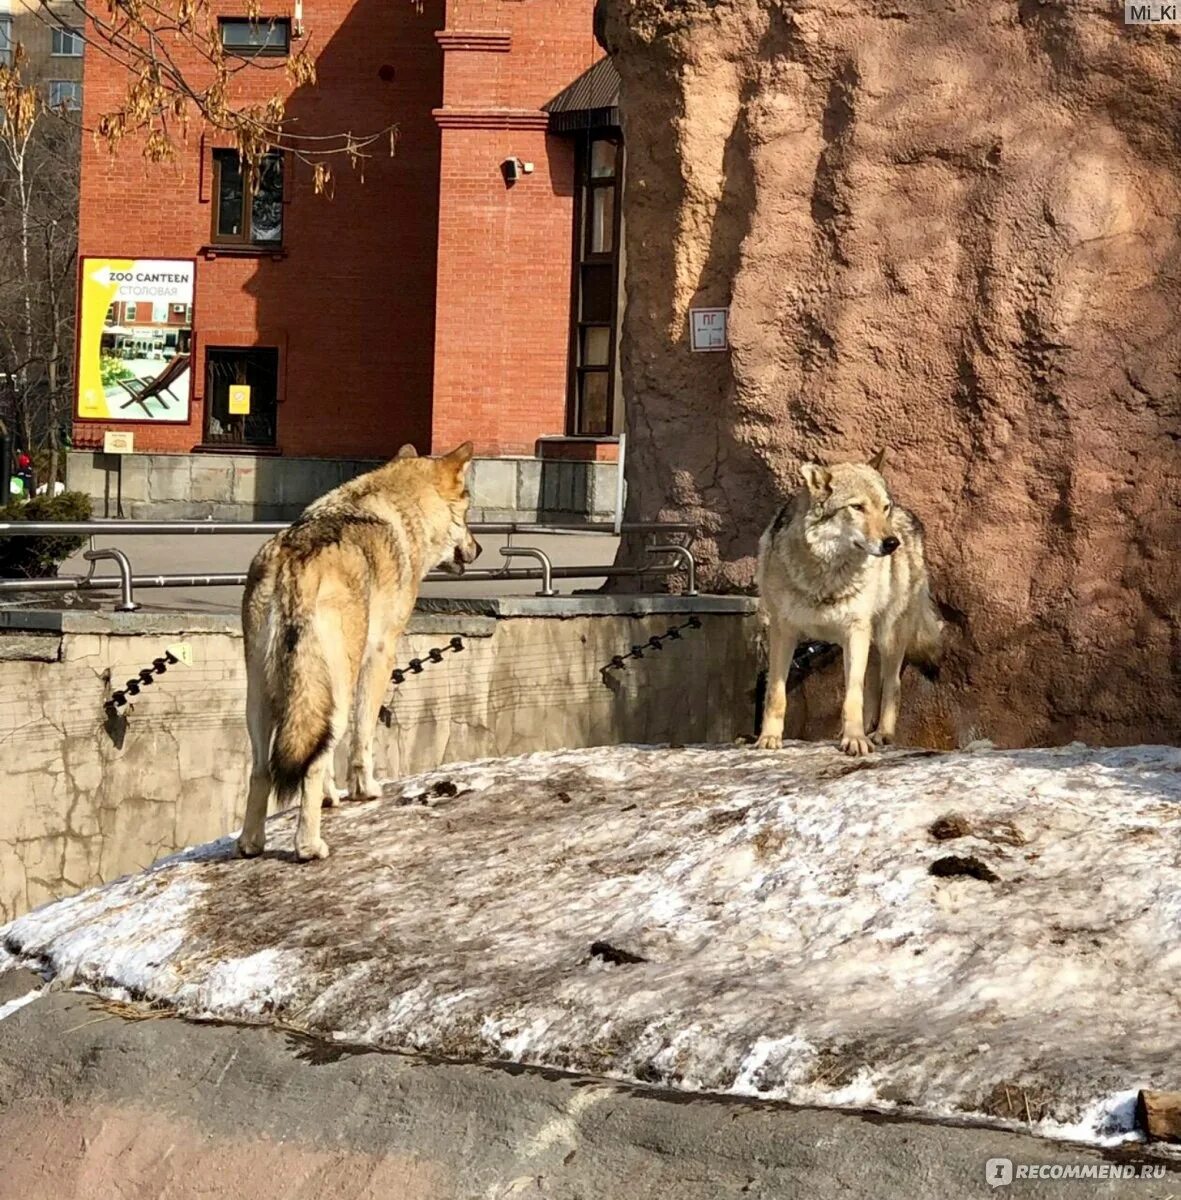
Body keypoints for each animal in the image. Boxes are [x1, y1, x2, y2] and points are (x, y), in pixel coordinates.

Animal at [237, 444, 482, 864]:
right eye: (466, 517)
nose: (479, 548)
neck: (395, 512)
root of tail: (294, 561)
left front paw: (332, 798)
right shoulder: (380, 657)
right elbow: (362, 737)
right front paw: (365, 789)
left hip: (265, 697)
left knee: (263, 768)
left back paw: (250, 844)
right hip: (334, 688)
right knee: (313, 762)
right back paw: (309, 847)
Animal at [758, 451, 940, 758]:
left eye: (884, 507)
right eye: (857, 507)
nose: (892, 543)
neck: (826, 577)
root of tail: (909, 515)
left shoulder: (855, 630)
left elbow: (852, 695)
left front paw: (854, 739)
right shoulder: (783, 631)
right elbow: (776, 693)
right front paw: (768, 738)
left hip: (888, 637)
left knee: (892, 685)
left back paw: (881, 734)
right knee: (872, 686)